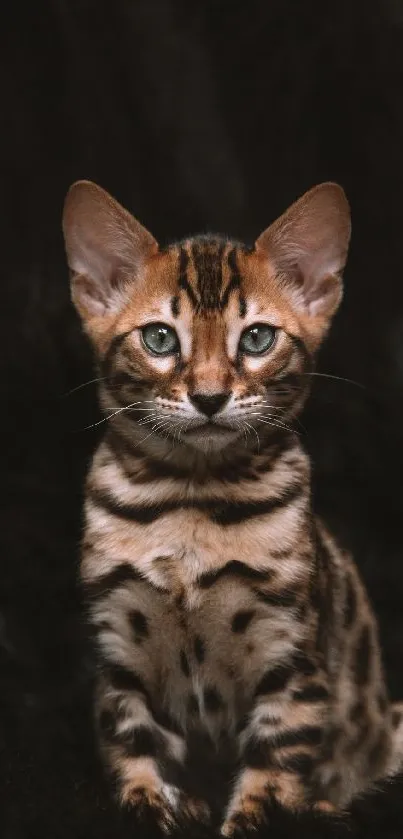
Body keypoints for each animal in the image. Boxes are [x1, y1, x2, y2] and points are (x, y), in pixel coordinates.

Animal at [61, 180, 403, 836]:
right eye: (160, 338)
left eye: (257, 338)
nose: (210, 396)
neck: (190, 503)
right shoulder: (117, 651)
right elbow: (132, 747)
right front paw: (152, 806)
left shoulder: (292, 661)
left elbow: (271, 775)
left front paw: (250, 816)